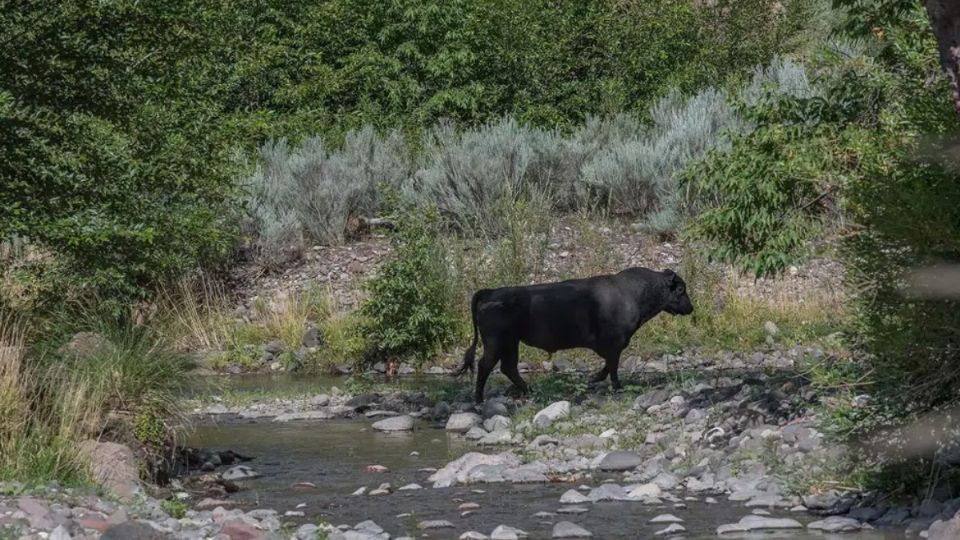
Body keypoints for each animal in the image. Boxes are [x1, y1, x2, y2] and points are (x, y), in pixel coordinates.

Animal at [456, 268, 688, 402]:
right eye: (680, 289)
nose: (691, 307)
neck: (631, 292)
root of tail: (490, 292)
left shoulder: (613, 346)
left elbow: (608, 364)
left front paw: (594, 378)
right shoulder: (615, 343)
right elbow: (613, 366)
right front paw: (616, 386)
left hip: (511, 344)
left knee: (508, 367)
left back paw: (530, 390)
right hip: (497, 343)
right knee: (486, 365)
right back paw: (479, 399)